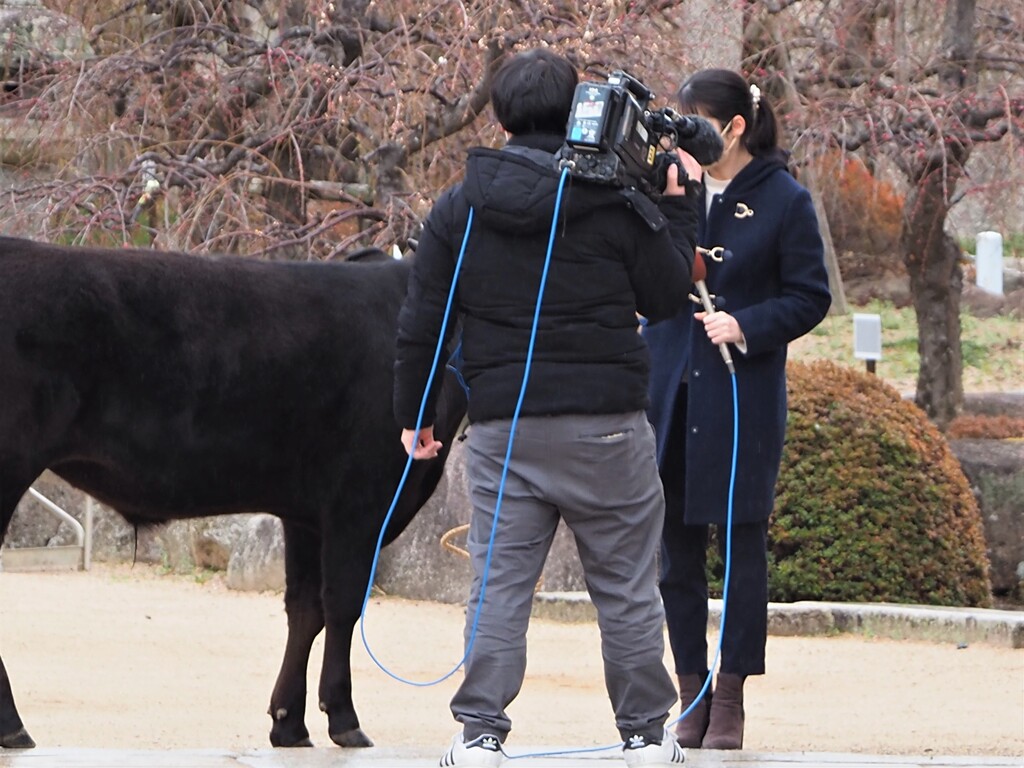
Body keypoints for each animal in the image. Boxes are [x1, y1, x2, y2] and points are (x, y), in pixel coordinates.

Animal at [0, 236, 468, 753]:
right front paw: (344, 718)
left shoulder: (308, 514)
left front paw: (288, 723)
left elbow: (306, 609)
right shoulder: (360, 503)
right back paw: (12, 725)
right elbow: (344, 605)